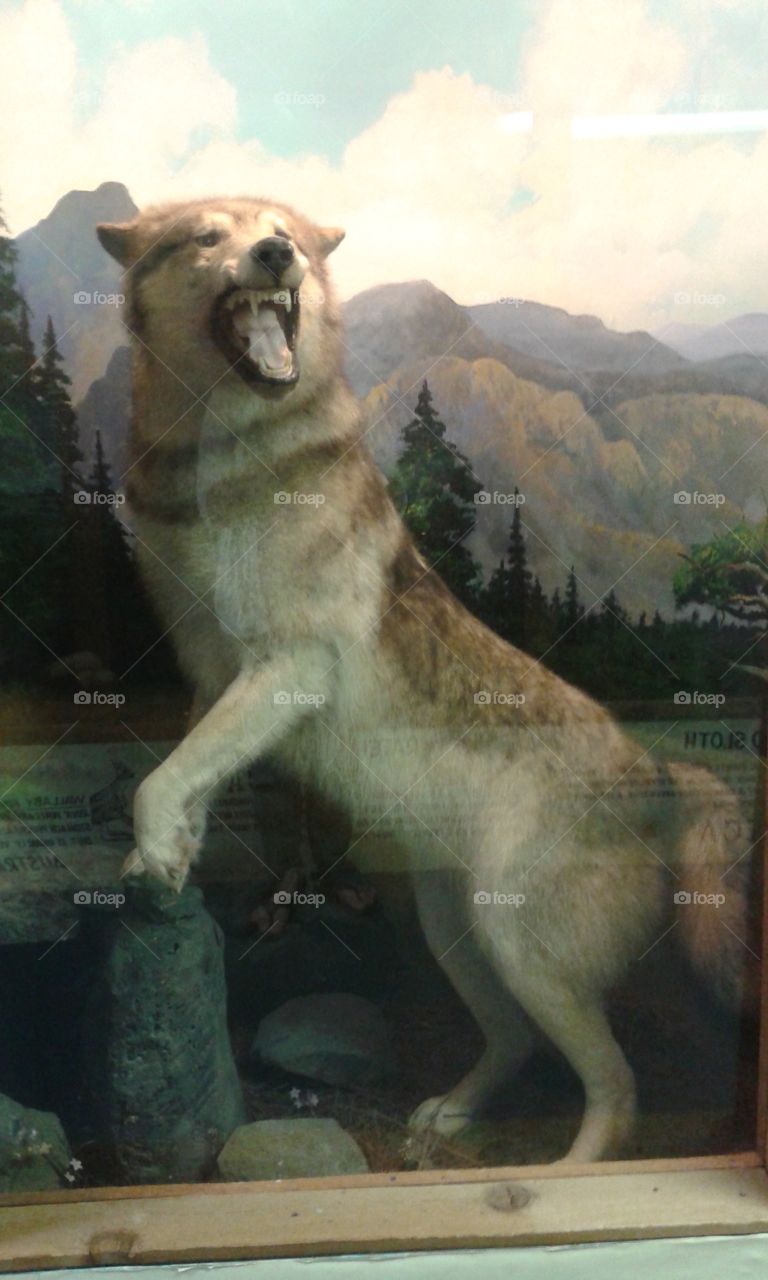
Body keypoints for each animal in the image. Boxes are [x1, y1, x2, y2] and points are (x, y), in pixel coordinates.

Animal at [97, 197, 756, 1163]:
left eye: (282, 229)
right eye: (209, 235)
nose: (277, 253)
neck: (220, 466)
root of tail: (660, 772)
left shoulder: (289, 666)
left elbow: (158, 777)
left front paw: (153, 848)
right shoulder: (212, 673)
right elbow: (194, 777)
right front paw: (170, 860)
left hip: (520, 946)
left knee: (617, 1084)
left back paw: (570, 1173)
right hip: (458, 932)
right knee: (516, 1043)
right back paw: (450, 1112)